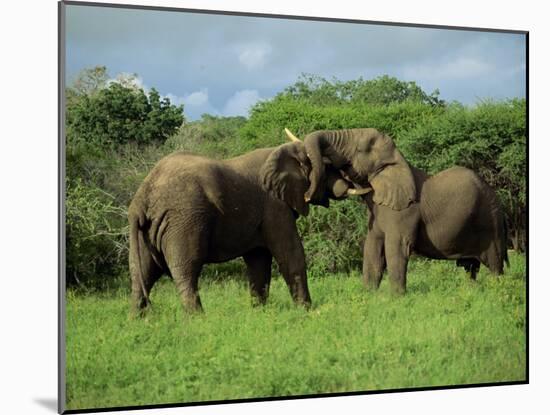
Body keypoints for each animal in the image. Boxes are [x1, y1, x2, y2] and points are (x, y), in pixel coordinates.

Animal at [128, 140, 354, 316]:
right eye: (329, 167)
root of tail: (142, 196)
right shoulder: (274, 205)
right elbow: (290, 254)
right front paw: (306, 311)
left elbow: (259, 261)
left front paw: (259, 312)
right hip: (183, 220)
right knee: (185, 269)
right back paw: (198, 319)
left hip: (147, 230)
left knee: (143, 273)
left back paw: (137, 321)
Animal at [286, 128, 512, 294]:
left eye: (359, 149)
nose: (307, 196)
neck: (396, 161)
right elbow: (372, 248)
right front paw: (369, 296)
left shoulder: (405, 211)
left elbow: (397, 247)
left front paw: (396, 298)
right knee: (470, 268)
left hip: (490, 221)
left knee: (494, 264)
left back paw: (497, 290)